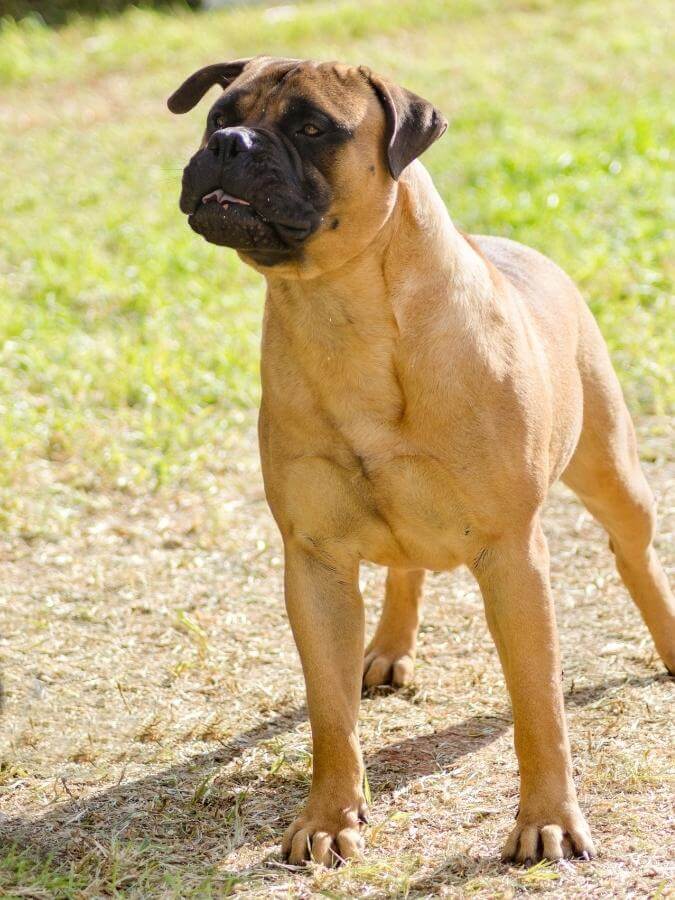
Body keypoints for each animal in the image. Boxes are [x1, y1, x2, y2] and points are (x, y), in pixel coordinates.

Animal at [166, 54, 672, 864]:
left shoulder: (513, 556)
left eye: (313, 128)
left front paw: (548, 820)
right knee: (404, 572)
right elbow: (329, 714)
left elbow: (538, 706)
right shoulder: (314, 562)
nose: (228, 144)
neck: (341, 308)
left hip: (612, 474)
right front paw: (328, 818)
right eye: (219, 116)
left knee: (636, 557)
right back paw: (386, 649)